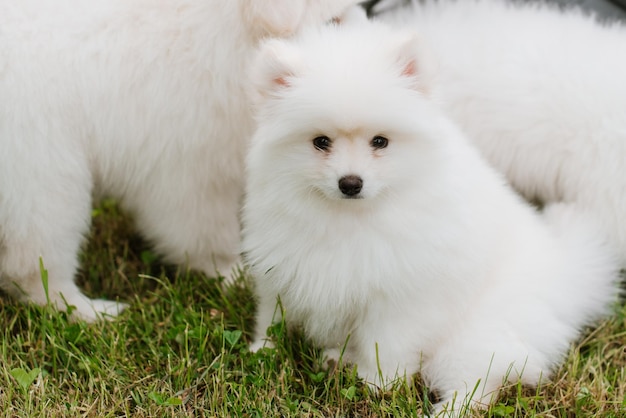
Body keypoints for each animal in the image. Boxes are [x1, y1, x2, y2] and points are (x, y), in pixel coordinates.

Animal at [0, 0, 358, 320]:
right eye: (332, 20)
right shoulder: (187, 172)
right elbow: (207, 233)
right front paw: (235, 274)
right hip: (48, 177)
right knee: (34, 266)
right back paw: (90, 311)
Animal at [241, 17, 616, 414]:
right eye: (320, 142)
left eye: (380, 142)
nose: (350, 182)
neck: (351, 217)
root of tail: (569, 275)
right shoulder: (284, 267)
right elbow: (272, 315)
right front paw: (262, 351)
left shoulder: (401, 294)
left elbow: (387, 344)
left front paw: (378, 383)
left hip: (474, 333)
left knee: (479, 382)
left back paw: (445, 410)